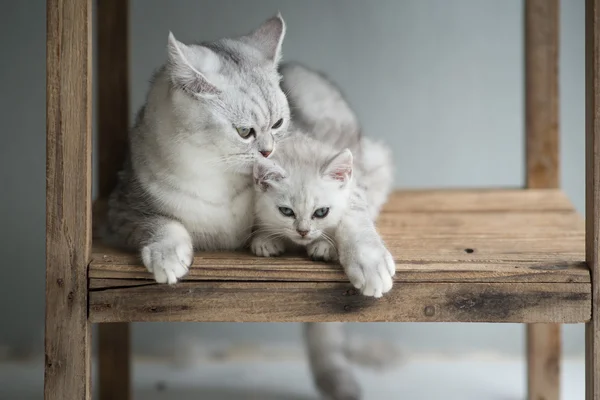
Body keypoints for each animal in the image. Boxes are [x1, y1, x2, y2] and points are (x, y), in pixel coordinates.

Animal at [106, 15, 290, 282]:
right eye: (245, 132)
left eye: (278, 124)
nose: (268, 152)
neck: (221, 182)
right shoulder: (122, 214)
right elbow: (161, 223)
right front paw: (167, 257)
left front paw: (267, 239)